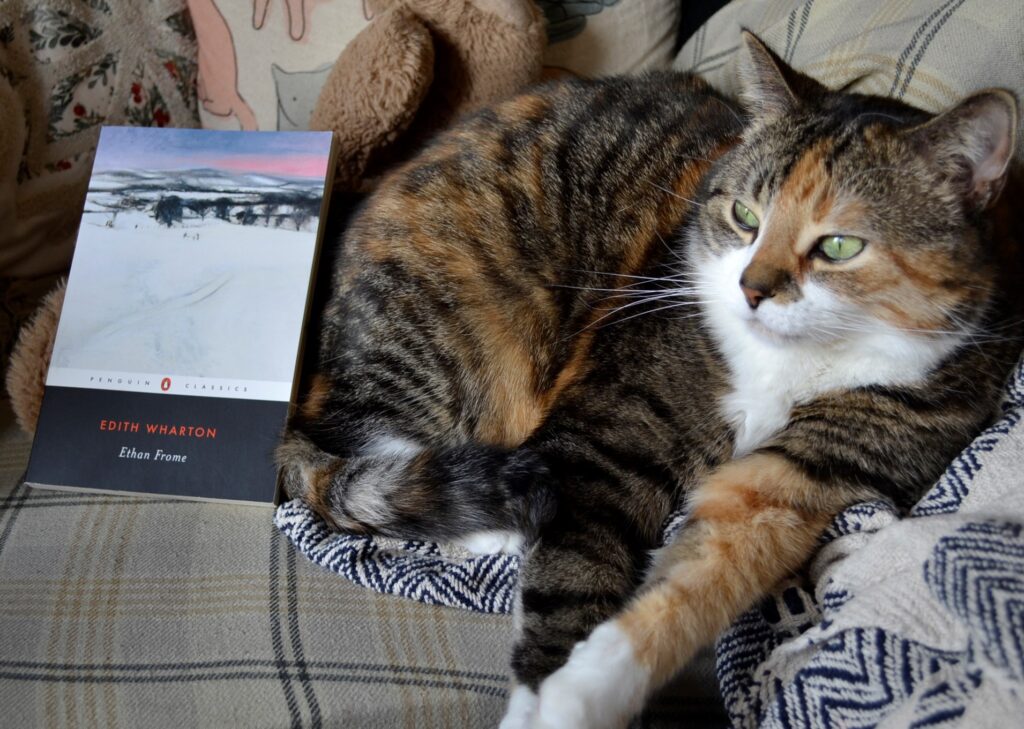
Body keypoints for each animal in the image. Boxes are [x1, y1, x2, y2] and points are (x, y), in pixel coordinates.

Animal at [276, 34, 1019, 729]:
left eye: (839, 245)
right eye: (745, 217)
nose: (751, 289)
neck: (785, 366)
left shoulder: (799, 477)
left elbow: (703, 576)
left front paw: (583, 692)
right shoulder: (603, 440)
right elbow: (572, 576)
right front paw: (541, 699)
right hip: (454, 326)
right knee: (354, 449)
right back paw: (494, 520)